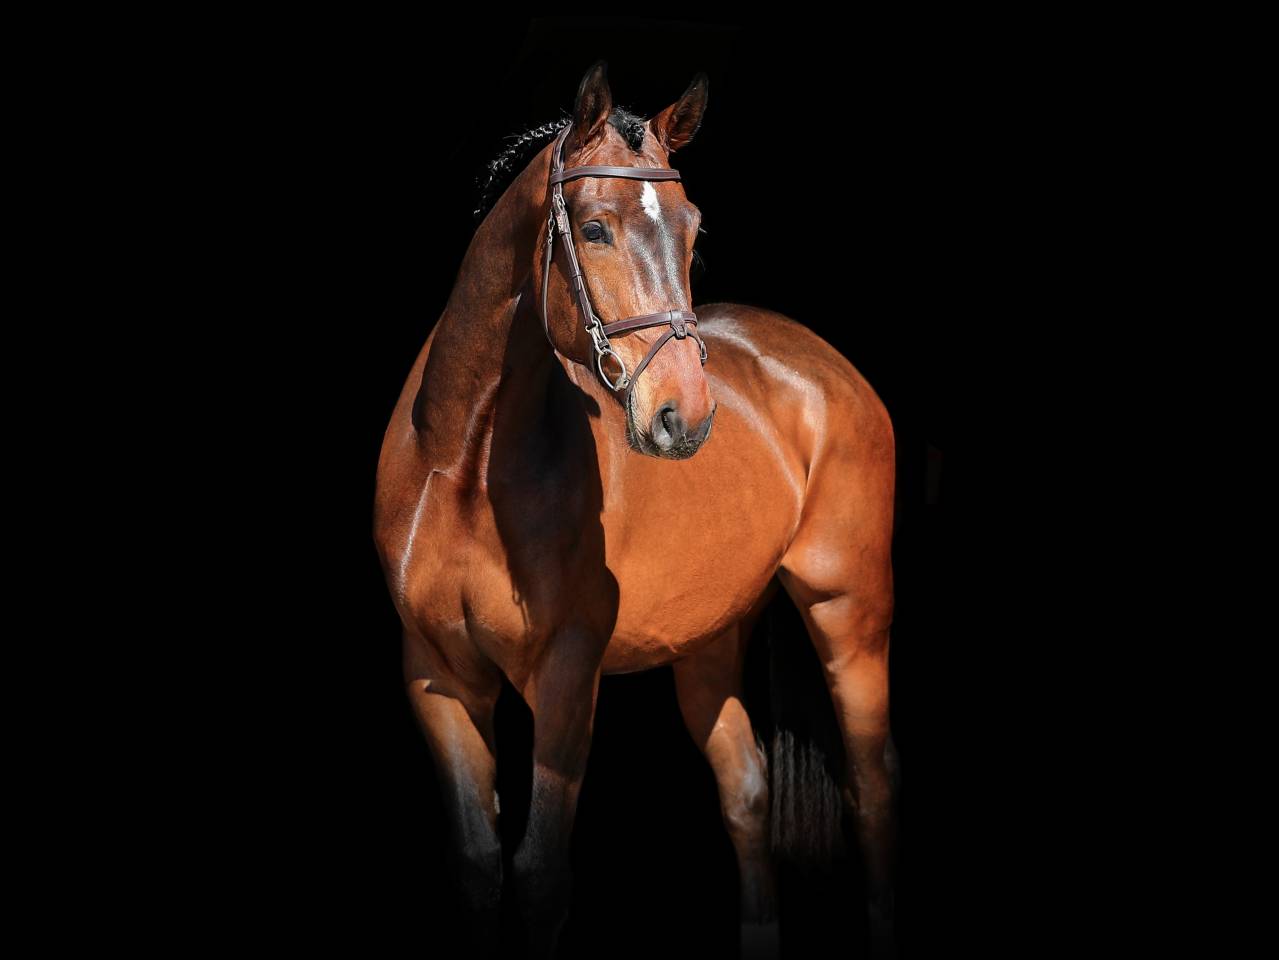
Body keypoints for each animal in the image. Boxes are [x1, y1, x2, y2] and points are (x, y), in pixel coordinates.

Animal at [373, 61, 901, 958]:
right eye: (592, 229)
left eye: (692, 231)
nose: (681, 416)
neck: (463, 467)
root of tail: (822, 364)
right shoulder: (437, 674)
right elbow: (479, 865)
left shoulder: (566, 673)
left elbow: (540, 876)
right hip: (708, 642)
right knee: (746, 795)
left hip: (848, 613)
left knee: (870, 793)